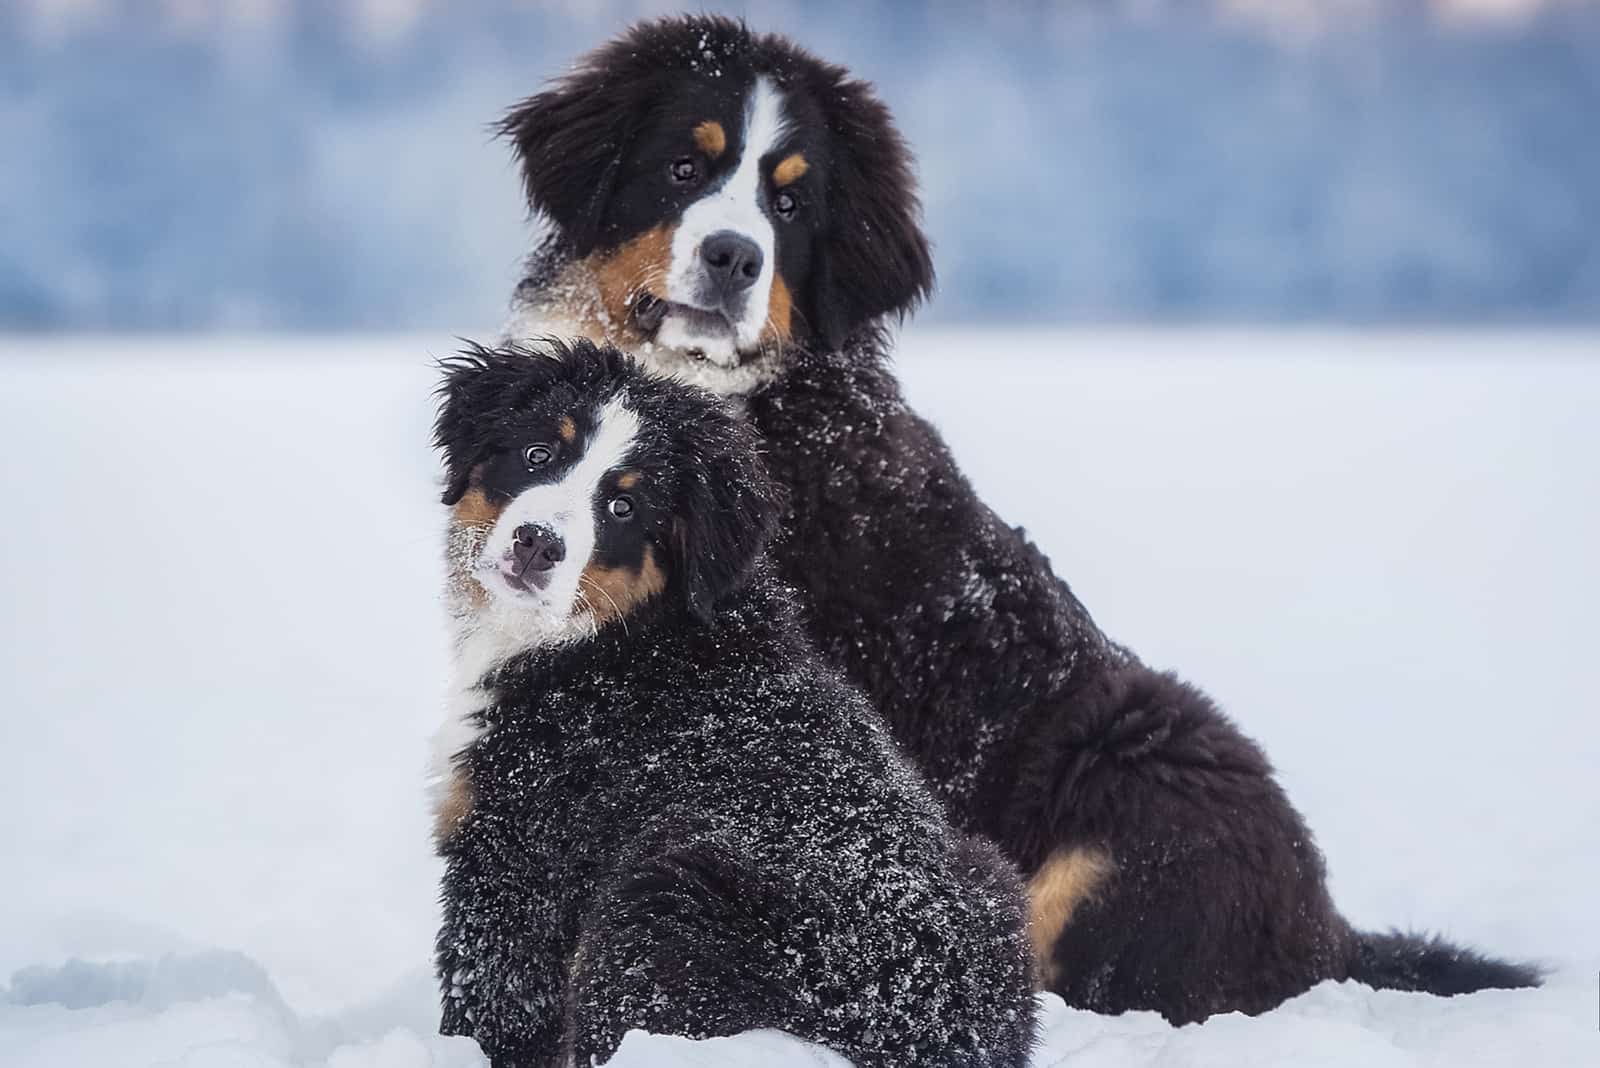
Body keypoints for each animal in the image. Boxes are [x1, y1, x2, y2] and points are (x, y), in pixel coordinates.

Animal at [428, 340, 1036, 1068]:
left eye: (624, 509)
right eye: (539, 454)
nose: (538, 544)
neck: (617, 635)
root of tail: (917, 1016)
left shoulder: (516, 852)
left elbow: (489, 1002)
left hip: (659, 895)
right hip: (995, 884)